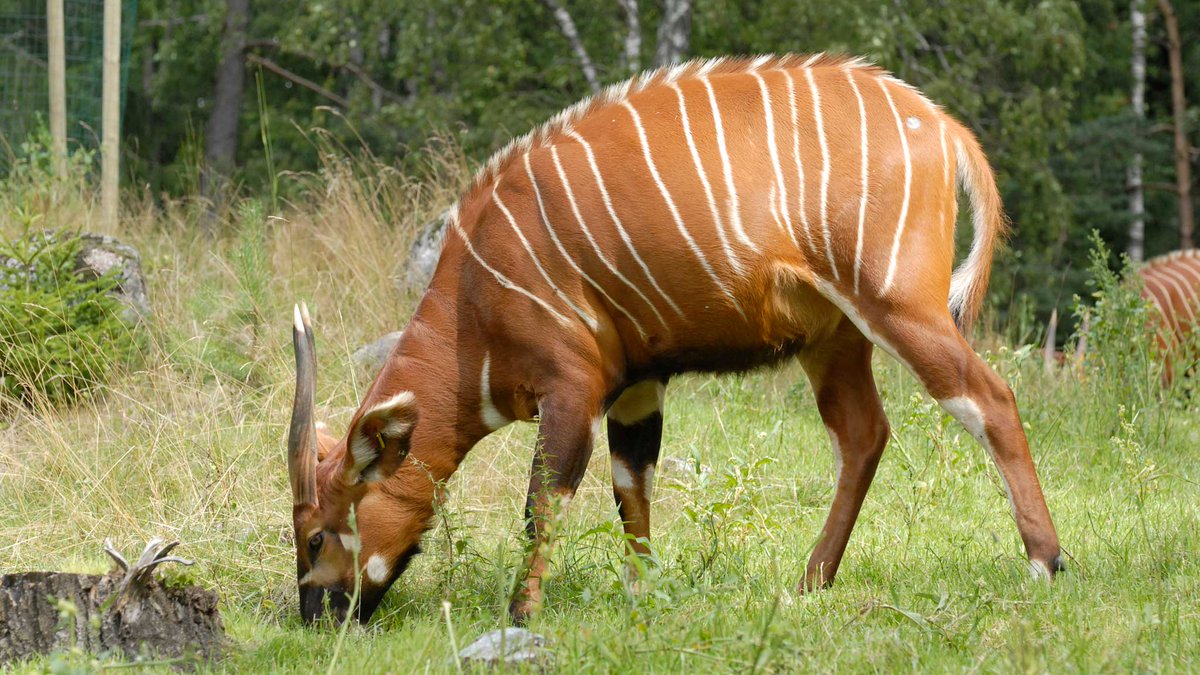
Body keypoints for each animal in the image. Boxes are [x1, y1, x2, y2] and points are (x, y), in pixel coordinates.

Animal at [286, 54, 1064, 624]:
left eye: (317, 533)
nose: (315, 614)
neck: (472, 299)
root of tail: (941, 124)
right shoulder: (637, 387)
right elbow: (633, 489)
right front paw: (644, 595)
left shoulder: (571, 392)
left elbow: (544, 503)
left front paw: (519, 615)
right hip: (836, 339)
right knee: (863, 432)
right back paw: (811, 581)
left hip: (901, 307)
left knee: (989, 398)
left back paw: (1046, 561)